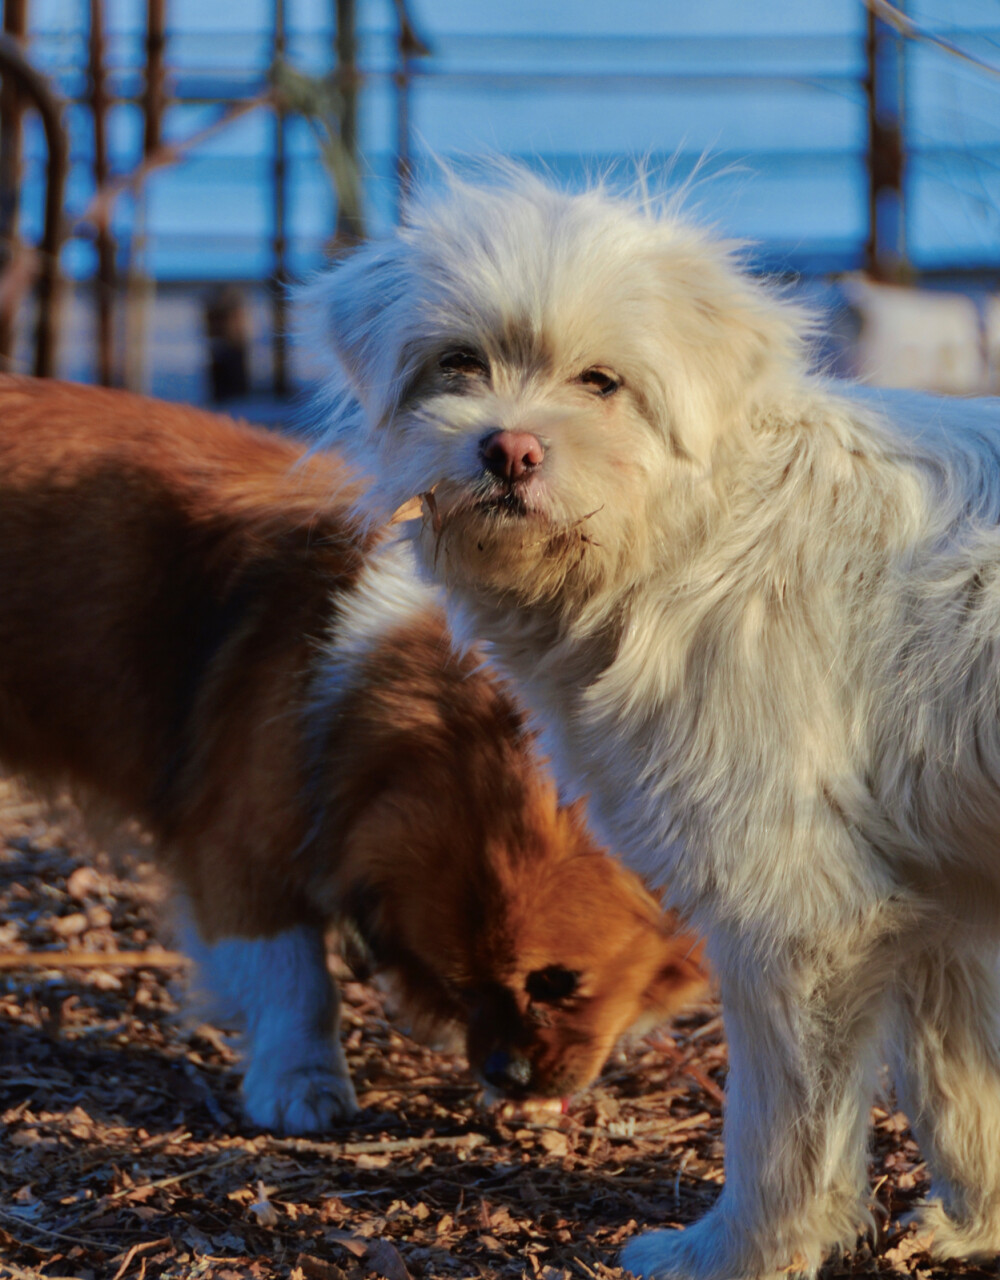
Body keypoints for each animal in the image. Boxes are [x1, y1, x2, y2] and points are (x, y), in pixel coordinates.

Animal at [0, 373, 706, 1136]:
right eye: (460, 981)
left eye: (558, 982)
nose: (508, 1076)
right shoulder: (240, 852)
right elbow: (294, 984)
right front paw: (301, 1086)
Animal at [308, 170, 998, 1280]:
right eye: (458, 361)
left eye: (602, 381)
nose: (507, 449)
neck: (692, 531)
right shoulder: (935, 900)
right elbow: (962, 1088)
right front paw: (975, 1227)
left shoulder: (799, 922)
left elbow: (780, 1133)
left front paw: (735, 1255)